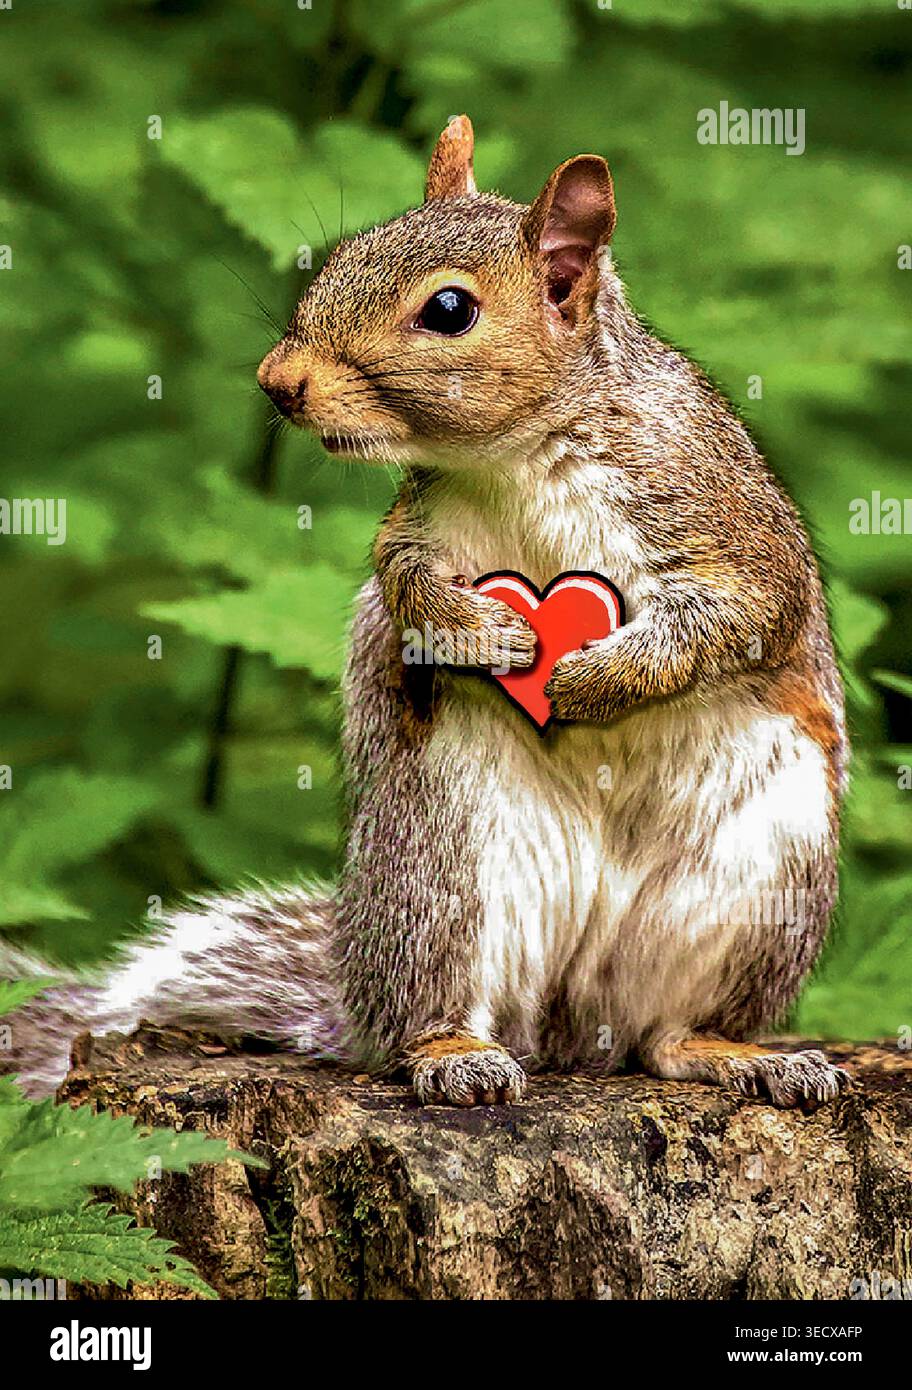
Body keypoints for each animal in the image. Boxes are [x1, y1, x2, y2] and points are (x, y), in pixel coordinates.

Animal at [3, 116, 850, 1110]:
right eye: (341, 255)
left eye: (449, 310)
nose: (278, 381)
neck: (516, 458)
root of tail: (570, 1025)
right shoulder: (415, 529)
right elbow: (404, 589)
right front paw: (485, 633)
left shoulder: (722, 521)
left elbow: (732, 617)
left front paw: (593, 677)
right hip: (443, 866)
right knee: (436, 1009)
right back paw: (454, 1053)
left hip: (756, 879)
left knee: (664, 1036)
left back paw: (743, 1055)